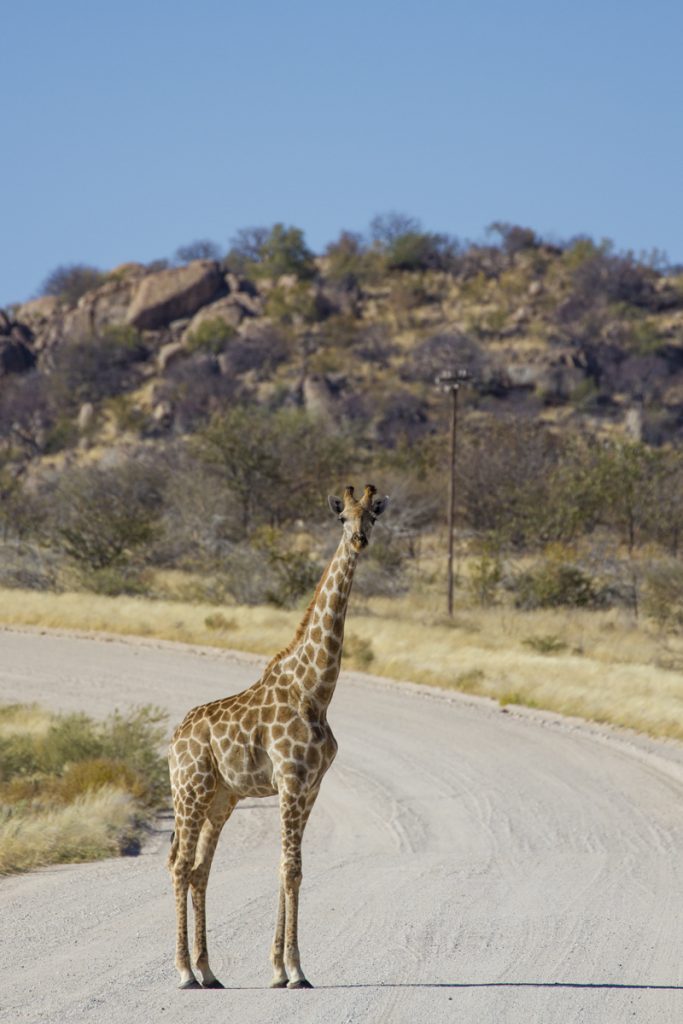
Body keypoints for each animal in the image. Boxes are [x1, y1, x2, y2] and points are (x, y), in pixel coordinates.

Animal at [166, 483, 389, 987]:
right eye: (342, 518)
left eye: (372, 515)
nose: (359, 541)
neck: (316, 690)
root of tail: (173, 741)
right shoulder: (289, 781)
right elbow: (290, 868)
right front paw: (295, 970)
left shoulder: (310, 787)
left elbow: (292, 870)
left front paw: (279, 968)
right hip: (190, 790)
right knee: (179, 865)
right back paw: (185, 972)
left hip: (221, 798)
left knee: (200, 869)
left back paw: (209, 972)